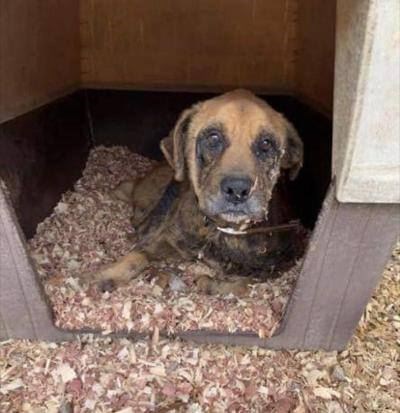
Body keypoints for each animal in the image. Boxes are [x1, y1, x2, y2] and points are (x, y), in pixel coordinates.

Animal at [86, 90, 304, 293]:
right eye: (213, 137)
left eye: (266, 143)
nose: (237, 189)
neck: (220, 230)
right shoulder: (166, 239)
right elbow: (137, 255)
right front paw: (108, 274)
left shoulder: (276, 266)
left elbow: (243, 285)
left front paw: (210, 283)